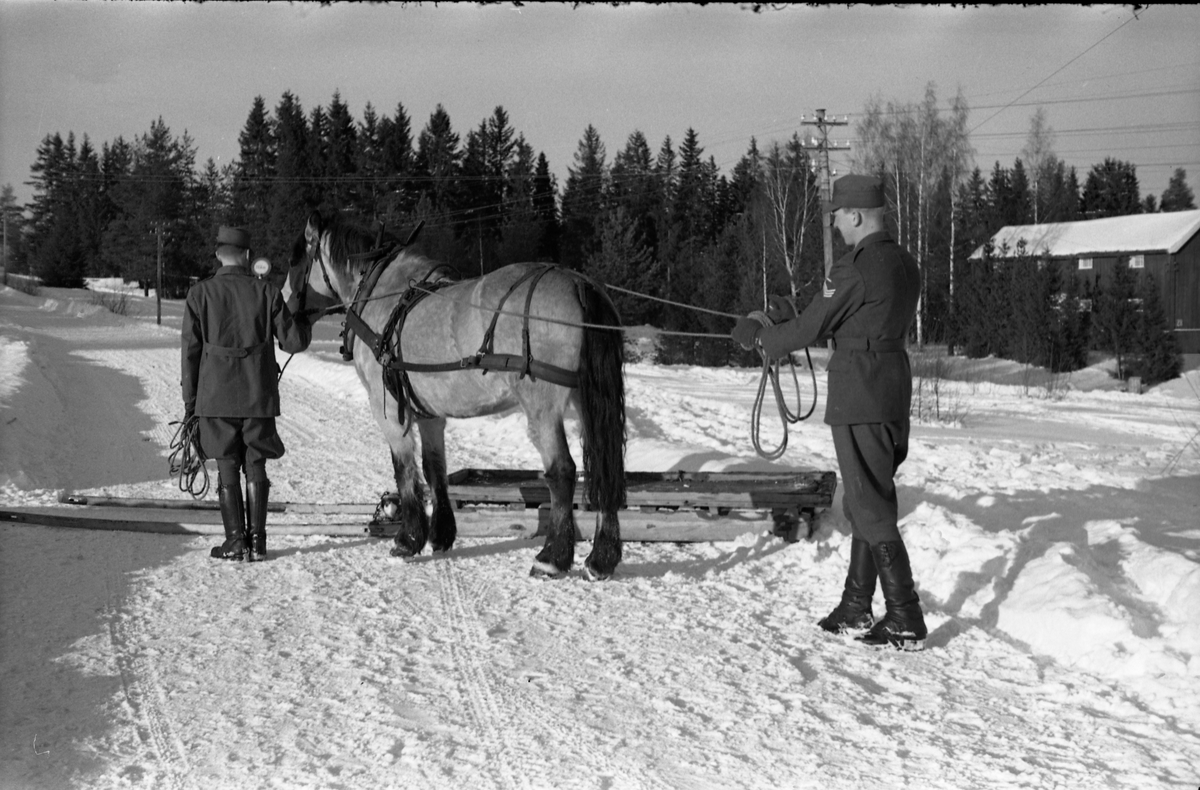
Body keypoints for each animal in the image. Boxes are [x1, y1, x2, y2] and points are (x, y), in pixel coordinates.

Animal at [283, 208, 628, 578]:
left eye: (296, 260)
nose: (285, 326)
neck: (382, 293)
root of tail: (579, 284)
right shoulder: (430, 414)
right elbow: (434, 470)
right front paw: (441, 535)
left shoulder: (387, 409)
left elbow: (404, 470)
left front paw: (408, 539)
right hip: (587, 400)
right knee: (605, 467)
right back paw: (601, 558)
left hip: (542, 406)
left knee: (562, 471)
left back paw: (552, 557)